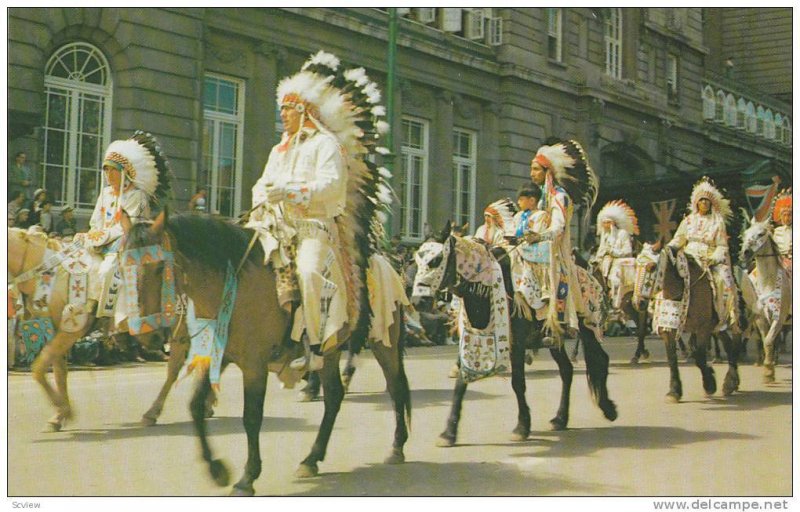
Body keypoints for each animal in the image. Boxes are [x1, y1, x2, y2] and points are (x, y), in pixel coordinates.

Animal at [7, 226, 173, 430]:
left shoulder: (72, 327)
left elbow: (39, 368)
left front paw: (62, 409)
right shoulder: (57, 328)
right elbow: (58, 371)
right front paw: (60, 414)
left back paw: (154, 412)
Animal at [125, 211, 412, 496]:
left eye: (159, 267)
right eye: (123, 268)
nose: (147, 336)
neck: (235, 284)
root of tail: (387, 264)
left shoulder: (255, 365)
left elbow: (251, 417)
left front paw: (247, 478)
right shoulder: (217, 355)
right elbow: (195, 406)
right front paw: (217, 469)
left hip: (383, 342)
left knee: (396, 388)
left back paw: (396, 447)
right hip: (330, 352)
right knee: (334, 396)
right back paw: (311, 459)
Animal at [412, 222, 620, 446]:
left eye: (435, 260)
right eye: (416, 259)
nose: (417, 300)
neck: (485, 287)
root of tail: (591, 276)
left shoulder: (517, 343)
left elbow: (518, 383)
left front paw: (522, 427)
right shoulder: (470, 341)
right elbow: (461, 382)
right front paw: (448, 432)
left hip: (588, 329)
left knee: (601, 359)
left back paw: (608, 409)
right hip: (555, 339)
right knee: (567, 371)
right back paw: (560, 418)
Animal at [652, 248, 740, 404]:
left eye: (653, 266)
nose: (639, 301)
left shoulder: (703, 328)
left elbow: (699, 356)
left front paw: (709, 384)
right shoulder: (667, 330)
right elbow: (672, 358)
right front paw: (674, 391)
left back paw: (730, 382)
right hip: (716, 327)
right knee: (729, 345)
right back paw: (731, 382)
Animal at [740, 218, 792, 382]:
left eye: (761, 233)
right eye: (746, 233)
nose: (745, 252)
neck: (768, 283)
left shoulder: (779, 317)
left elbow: (769, 340)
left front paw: (769, 370)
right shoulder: (760, 317)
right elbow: (765, 341)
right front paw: (768, 369)